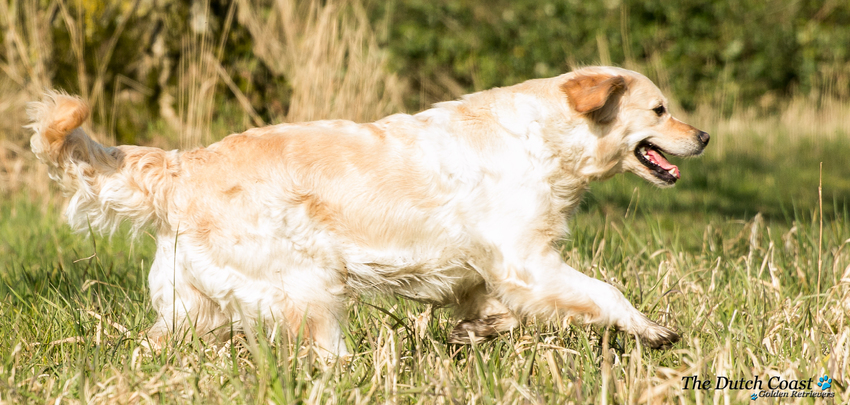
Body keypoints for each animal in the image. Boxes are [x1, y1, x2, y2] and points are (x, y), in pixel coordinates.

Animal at [29, 66, 708, 356]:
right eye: (659, 110)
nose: (701, 137)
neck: (542, 136)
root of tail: (186, 165)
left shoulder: (489, 270)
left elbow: (487, 312)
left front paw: (473, 332)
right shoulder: (527, 263)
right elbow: (606, 293)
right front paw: (654, 330)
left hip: (192, 310)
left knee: (149, 347)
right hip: (306, 292)